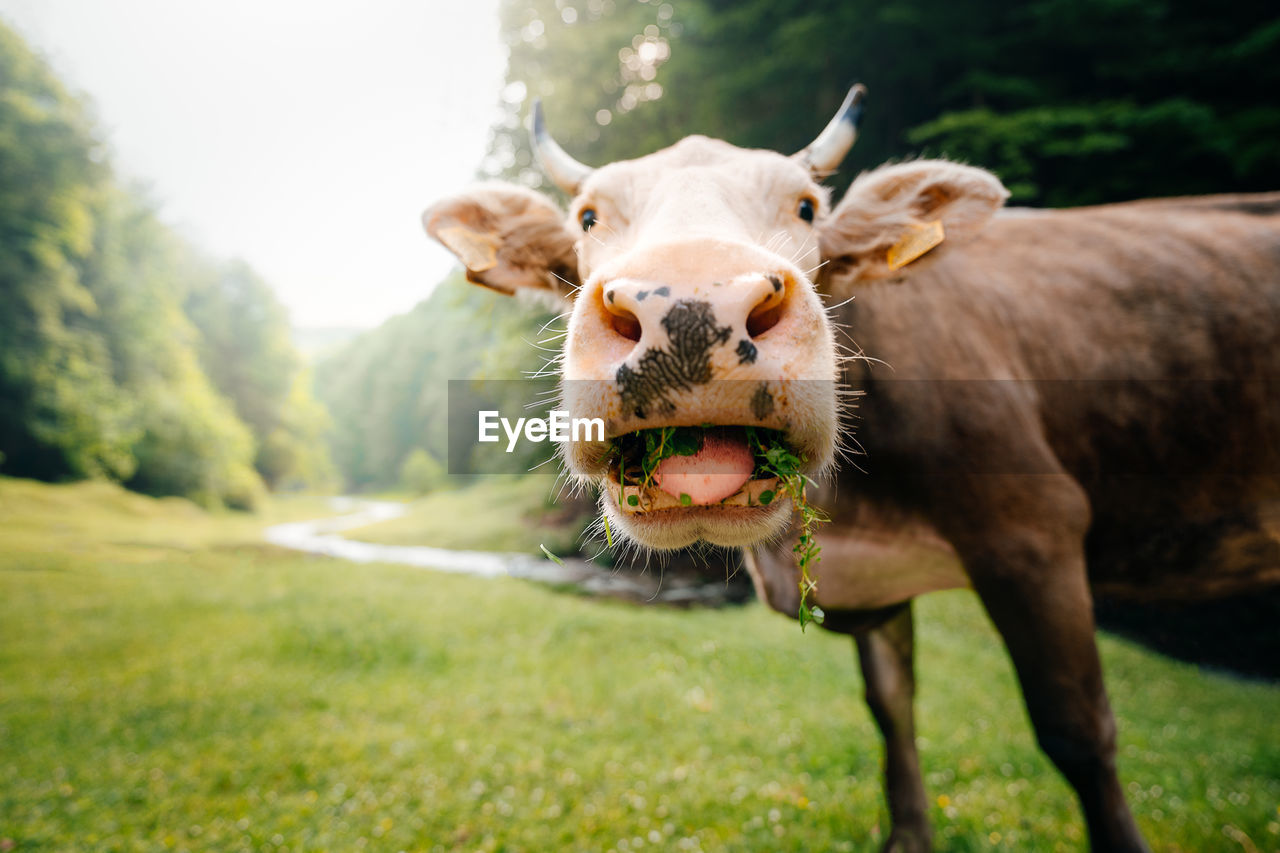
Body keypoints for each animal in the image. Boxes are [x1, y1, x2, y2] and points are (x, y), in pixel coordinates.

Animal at [422, 87, 1280, 850]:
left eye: (807, 208)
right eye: (589, 217)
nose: (691, 310)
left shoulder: (1034, 532)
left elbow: (1078, 730)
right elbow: (891, 705)